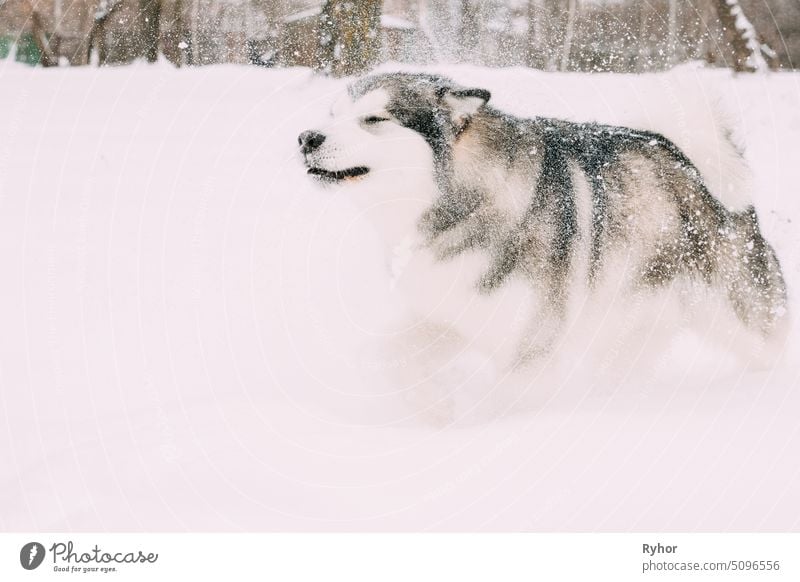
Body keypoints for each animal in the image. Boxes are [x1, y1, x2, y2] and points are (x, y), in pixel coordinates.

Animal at [298, 72, 788, 410]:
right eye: (332, 115)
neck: (465, 205)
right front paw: (431, 403)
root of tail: (687, 159)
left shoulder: (532, 348)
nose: (306, 137)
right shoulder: (452, 312)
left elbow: (498, 402)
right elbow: (376, 356)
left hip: (737, 316)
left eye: (374, 119)